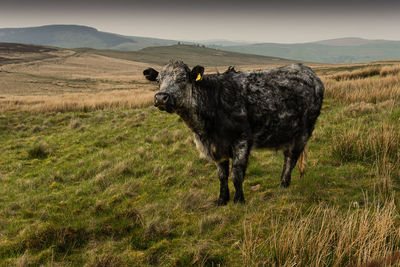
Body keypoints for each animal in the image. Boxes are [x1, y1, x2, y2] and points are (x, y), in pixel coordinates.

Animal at [144, 61, 324, 206]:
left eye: (182, 78)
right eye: (158, 80)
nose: (161, 97)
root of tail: (308, 72)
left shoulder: (242, 140)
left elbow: (236, 174)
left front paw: (239, 200)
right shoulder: (216, 147)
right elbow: (222, 175)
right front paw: (222, 199)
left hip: (303, 132)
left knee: (291, 158)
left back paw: (283, 185)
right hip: (288, 132)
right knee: (288, 157)